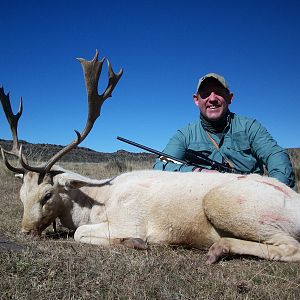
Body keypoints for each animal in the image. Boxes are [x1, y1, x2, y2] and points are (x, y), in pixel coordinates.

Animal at [0, 52, 300, 264]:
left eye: (47, 194)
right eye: (21, 196)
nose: (25, 231)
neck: (97, 203)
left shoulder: (128, 221)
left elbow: (79, 233)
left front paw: (135, 242)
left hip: (226, 205)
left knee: (292, 247)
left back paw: (218, 248)